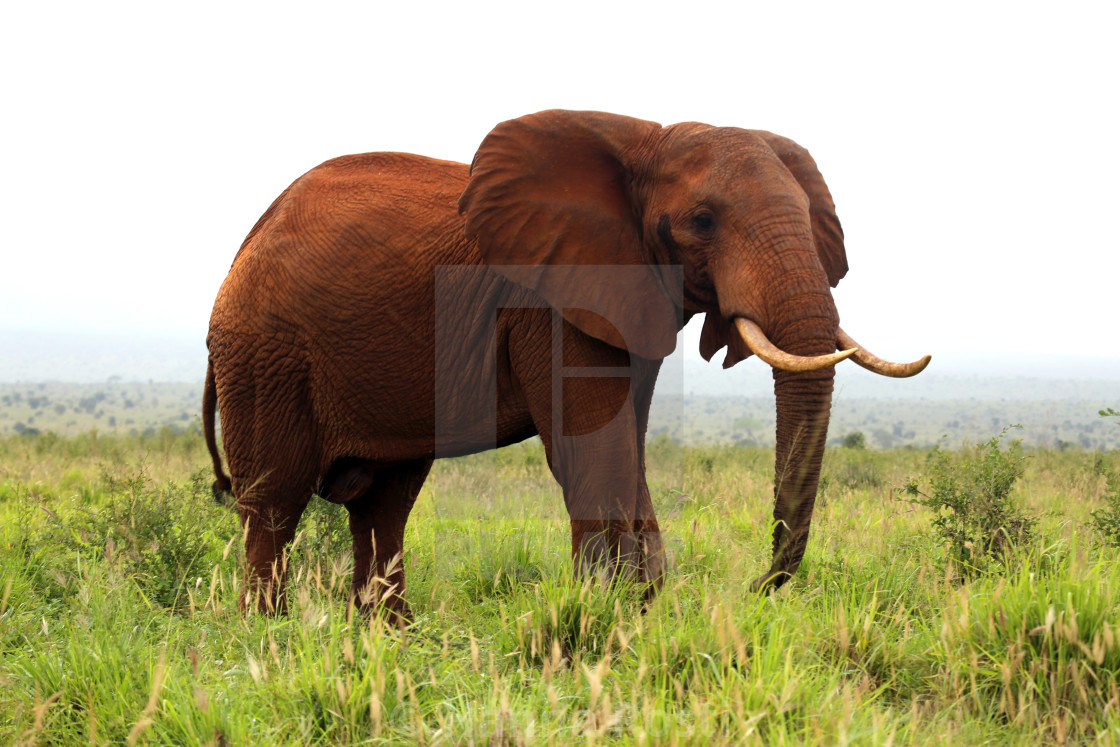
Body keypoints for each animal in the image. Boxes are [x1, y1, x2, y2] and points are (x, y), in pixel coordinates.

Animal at [201, 108, 927, 618]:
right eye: (702, 221)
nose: (755, 588)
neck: (645, 140)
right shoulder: (548, 303)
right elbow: (593, 448)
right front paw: (605, 616)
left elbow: (627, 444)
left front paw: (640, 608)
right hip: (264, 353)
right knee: (273, 505)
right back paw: (268, 638)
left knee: (384, 504)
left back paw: (391, 638)